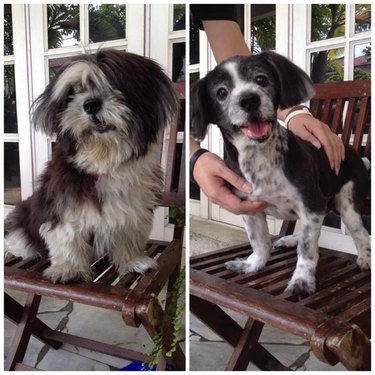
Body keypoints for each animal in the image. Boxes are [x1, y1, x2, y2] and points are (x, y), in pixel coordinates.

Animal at [4, 50, 178, 284]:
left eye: (113, 84)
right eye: (73, 92)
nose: (91, 104)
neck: (103, 161)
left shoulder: (134, 207)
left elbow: (129, 235)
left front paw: (132, 261)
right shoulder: (63, 207)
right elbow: (67, 235)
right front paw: (68, 269)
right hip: (22, 221)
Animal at [192, 51, 372, 296]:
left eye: (261, 79)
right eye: (221, 92)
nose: (249, 99)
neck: (260, 158)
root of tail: (353, 152)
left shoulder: (311, 204)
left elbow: (307, 249)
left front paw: (302, 279)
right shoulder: (250, 208)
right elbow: (260, 242)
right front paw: (252, 265)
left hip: (347, 205)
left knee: (361, 234)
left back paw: (366, 258)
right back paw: (290, 240)